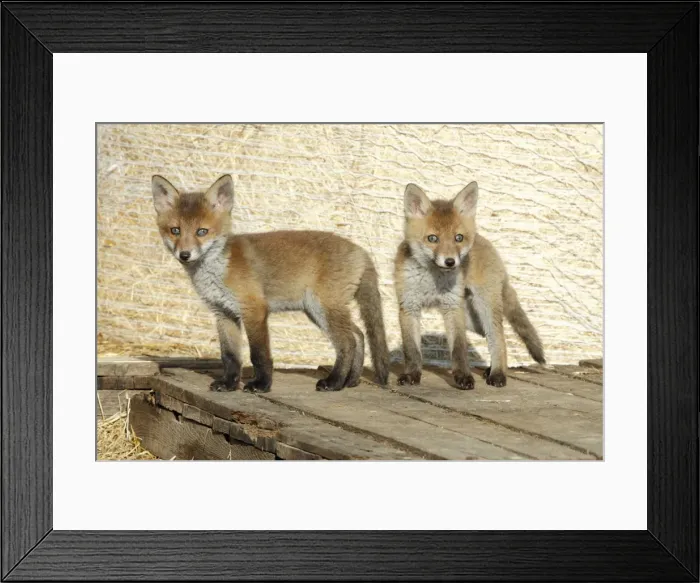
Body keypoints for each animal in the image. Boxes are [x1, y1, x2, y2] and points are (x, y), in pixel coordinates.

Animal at [152, 174, 390, 393]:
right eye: (175, 230)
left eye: (202, 231)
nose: (184, 255)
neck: (218, 270)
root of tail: (360, 250)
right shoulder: (223, 313)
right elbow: (230, 356)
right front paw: (229, 384)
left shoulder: (254, 310)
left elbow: (259, 355)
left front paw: (262, 385)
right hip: (317, 311)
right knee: (359, 336)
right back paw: (351, 381)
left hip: (324, 308)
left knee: (348, 343)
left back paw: (334, 382)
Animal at [394, 182, 546, 389]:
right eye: (432, 238)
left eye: (458, 238)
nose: (450, 262)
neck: (431, 281)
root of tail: (484, 241)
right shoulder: (409, 307)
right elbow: (412, 351)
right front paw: (411, 375)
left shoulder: (452, 308)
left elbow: (459, 349)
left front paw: (463, 376)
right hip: (472, 319)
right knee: (491, 335)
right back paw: (492, 369)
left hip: (484, 307)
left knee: (498, 338)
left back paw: (498, 374)